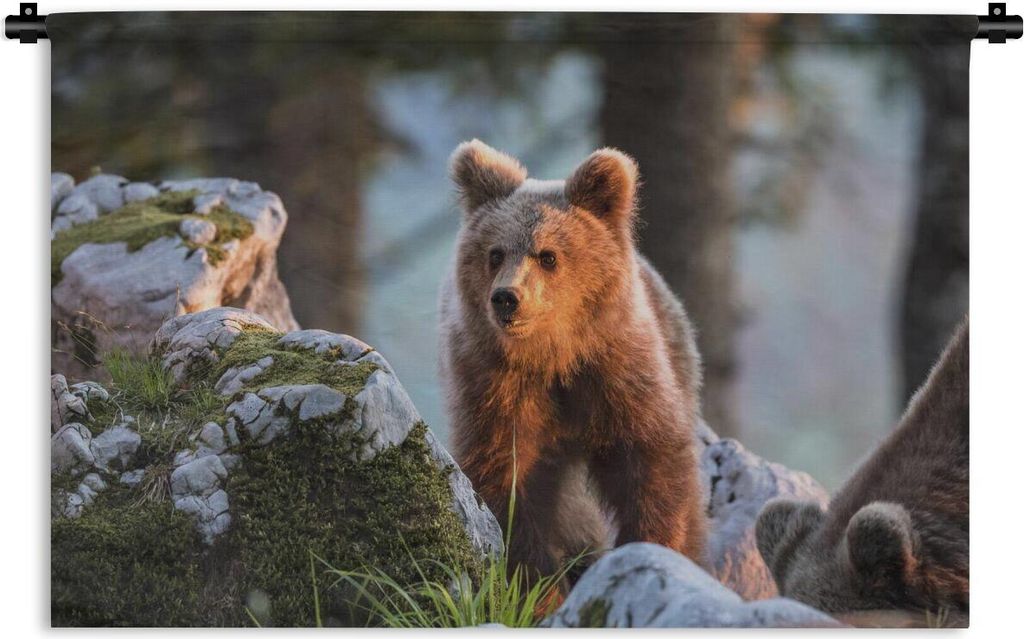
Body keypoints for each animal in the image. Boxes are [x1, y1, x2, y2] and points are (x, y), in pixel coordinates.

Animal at [438, 139, 706, 581]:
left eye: (547, 256)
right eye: (495, 253)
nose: (507, 298)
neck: (554, 356)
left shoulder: (618, 371)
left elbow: (653, 460)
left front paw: (655, 545)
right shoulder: (494, 386)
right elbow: (506, 478)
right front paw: (539, 578)